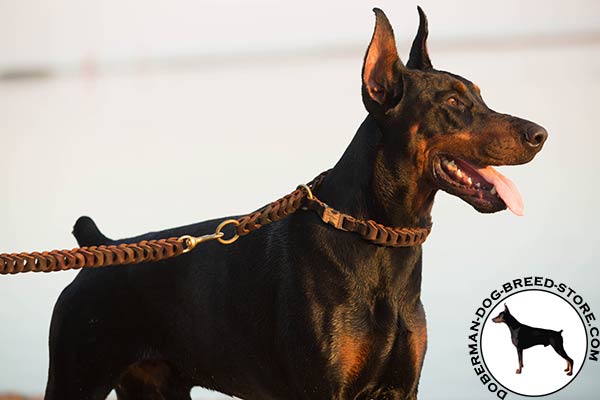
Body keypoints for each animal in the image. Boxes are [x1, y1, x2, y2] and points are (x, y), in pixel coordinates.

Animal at [43, 7, 548, 400]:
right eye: (452, 102)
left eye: (480, 95)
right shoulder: (322, 388)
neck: (379, 241)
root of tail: (101, 246)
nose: (540, 134)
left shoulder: (402, 387)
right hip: (74, 376)